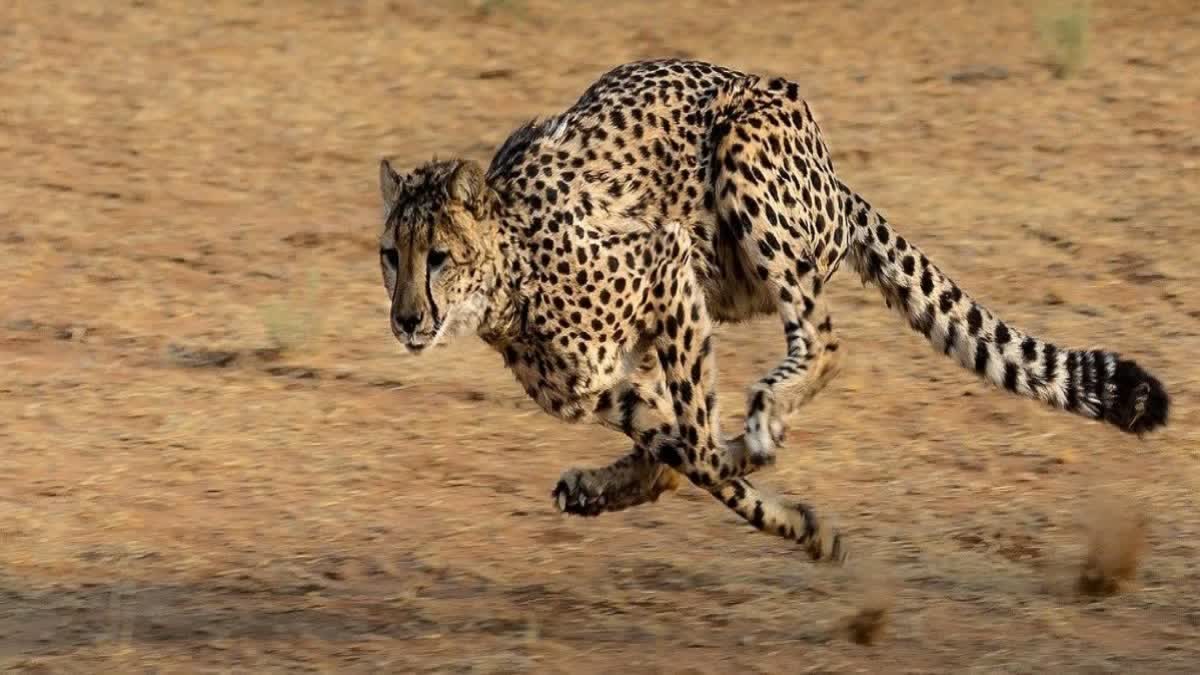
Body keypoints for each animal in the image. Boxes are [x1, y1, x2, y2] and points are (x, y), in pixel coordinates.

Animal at [379, 59, 1166, 562]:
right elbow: (680, 452)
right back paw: (612, 484)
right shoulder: (606, 384)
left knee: (821, 340)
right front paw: (797, 523)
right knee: (678, 443)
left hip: (744, 163)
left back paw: (762, 418)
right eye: (391, 255)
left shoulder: (666, 263)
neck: (510, 282)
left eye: (439, 256)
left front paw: (767, 480)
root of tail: (834, 174)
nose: (407, 320)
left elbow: (699, 448)